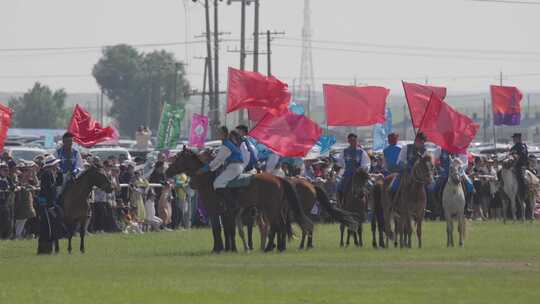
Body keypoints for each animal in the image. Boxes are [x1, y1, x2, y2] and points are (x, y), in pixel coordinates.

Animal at [167, 148, 314, 253]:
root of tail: (278, 179)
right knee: (280, 225)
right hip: (273, 209)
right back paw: (279, 247)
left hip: (270, 209)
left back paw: (270, 248)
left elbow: (218, 229)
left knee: (275, 226)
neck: (209, 181)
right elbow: (227, 230)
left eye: (178, 158)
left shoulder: (215, 211)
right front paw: (229, 248)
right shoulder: (226, 213)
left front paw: (219, 249)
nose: (167, 171)